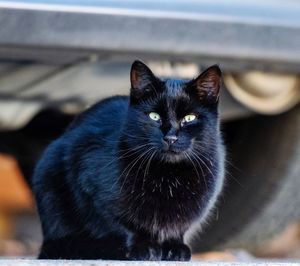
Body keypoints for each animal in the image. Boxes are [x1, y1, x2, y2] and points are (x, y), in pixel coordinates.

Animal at [32, 59, 225, 260]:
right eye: (154, 116)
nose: (170, 137)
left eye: (189, 118)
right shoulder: (89, 184)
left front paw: (175, 248)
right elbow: (126, 225)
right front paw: (141, 248)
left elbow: (178, 227)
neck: (169, 175)